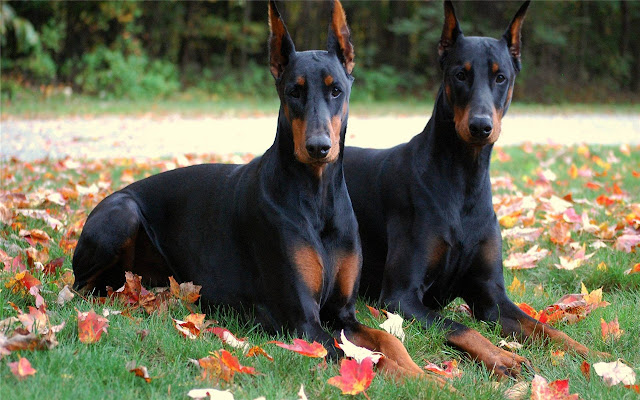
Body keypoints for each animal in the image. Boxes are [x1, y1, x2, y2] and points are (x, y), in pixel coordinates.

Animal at [72, 0, 428, 378]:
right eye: (294, 91)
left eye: (336, 90)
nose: (318, 147)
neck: (317, 195)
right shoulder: (302, 321)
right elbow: (363, 360)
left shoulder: (343, 313)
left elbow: (388, 343)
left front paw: (428, 377)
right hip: (122, 214)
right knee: (83, 287)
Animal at [344, 0, 604, 376]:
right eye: (460, 74)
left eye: (501, 77)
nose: (481, 126)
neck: (464, 178)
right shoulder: (401, 296)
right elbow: (460, 326)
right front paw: (504, 357)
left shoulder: (490, 295)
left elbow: (545, 328)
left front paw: (591, 354)